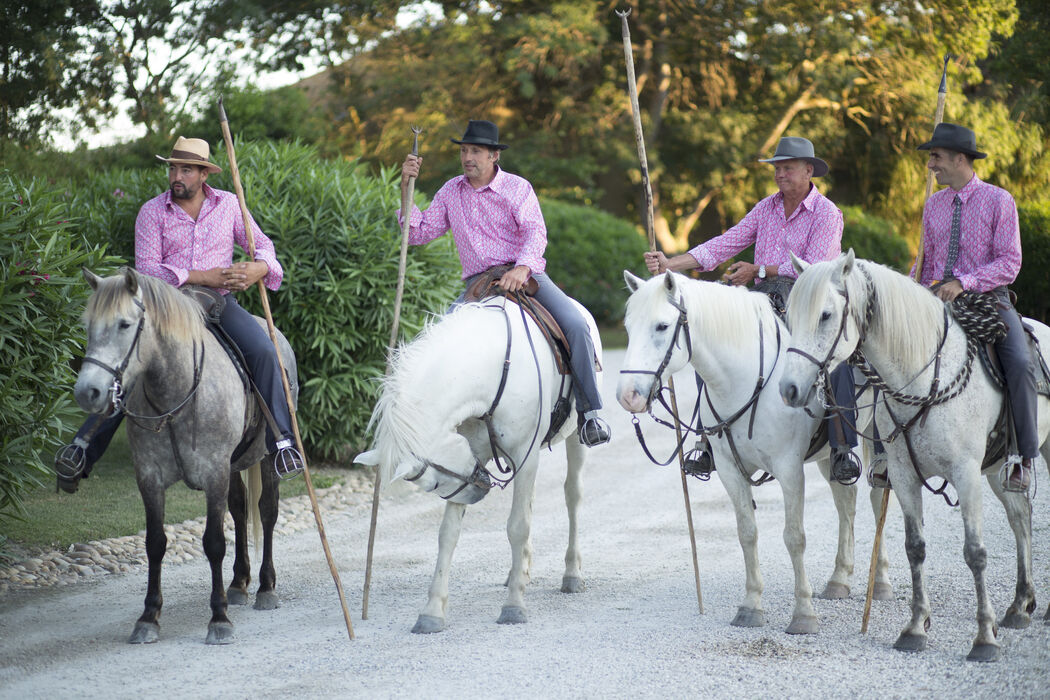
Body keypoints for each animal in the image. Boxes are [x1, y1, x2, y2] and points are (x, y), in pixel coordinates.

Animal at [356, 295, 600, 633]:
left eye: (433, 483)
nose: (479, 491)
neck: (493, 369)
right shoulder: (476, 456)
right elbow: (448, 534)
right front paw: (432, 612)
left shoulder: (525, 455)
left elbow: (517, 526)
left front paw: (514, 607)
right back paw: (518, 572)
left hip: (575, 437)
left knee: (572, 496)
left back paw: (572, 574)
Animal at [617, 272, 890, 633]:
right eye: (628, 327)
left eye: (662, 326)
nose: (628, 395)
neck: (747, 381)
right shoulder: (730, 470)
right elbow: (747, 532)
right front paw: (750, 606)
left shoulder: (789, 470)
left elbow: (794, 537)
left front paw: (803, 614)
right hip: (829, 457)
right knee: (846, 502)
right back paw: (839, 580)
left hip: (878, 440)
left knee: (877, 498)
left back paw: (881, 582)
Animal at [776, 252, 1045, 663]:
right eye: (790, 316)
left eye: (825, 315)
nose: (789, 389)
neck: (923, 380)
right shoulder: (903, 477)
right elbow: (914, 547)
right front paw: (915, 628)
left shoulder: (966, 474)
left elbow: (975, 552)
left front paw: (984, 637)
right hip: (1000, 467)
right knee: (1020, 518)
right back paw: (1019, 605)